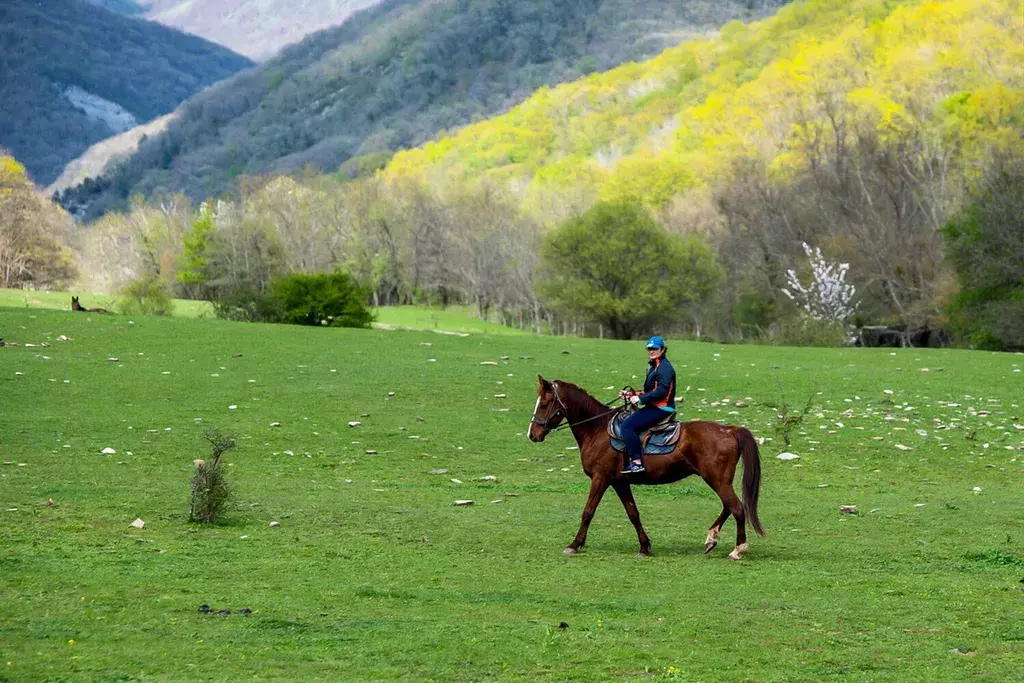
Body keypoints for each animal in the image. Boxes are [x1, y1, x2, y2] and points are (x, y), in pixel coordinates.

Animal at [532, 376, 765, 565]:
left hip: (717, 480)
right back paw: (711, 538)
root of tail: (730, 430)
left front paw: (574, 544)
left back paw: (737, 549)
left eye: (544, 404)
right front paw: (644, 547)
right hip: (718, 480)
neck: (597, 430)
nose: (532, 434)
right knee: (729, 506)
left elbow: (588, 511)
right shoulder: (619, 482)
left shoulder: (601, 478)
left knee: (737, 507)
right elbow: (633, 513)